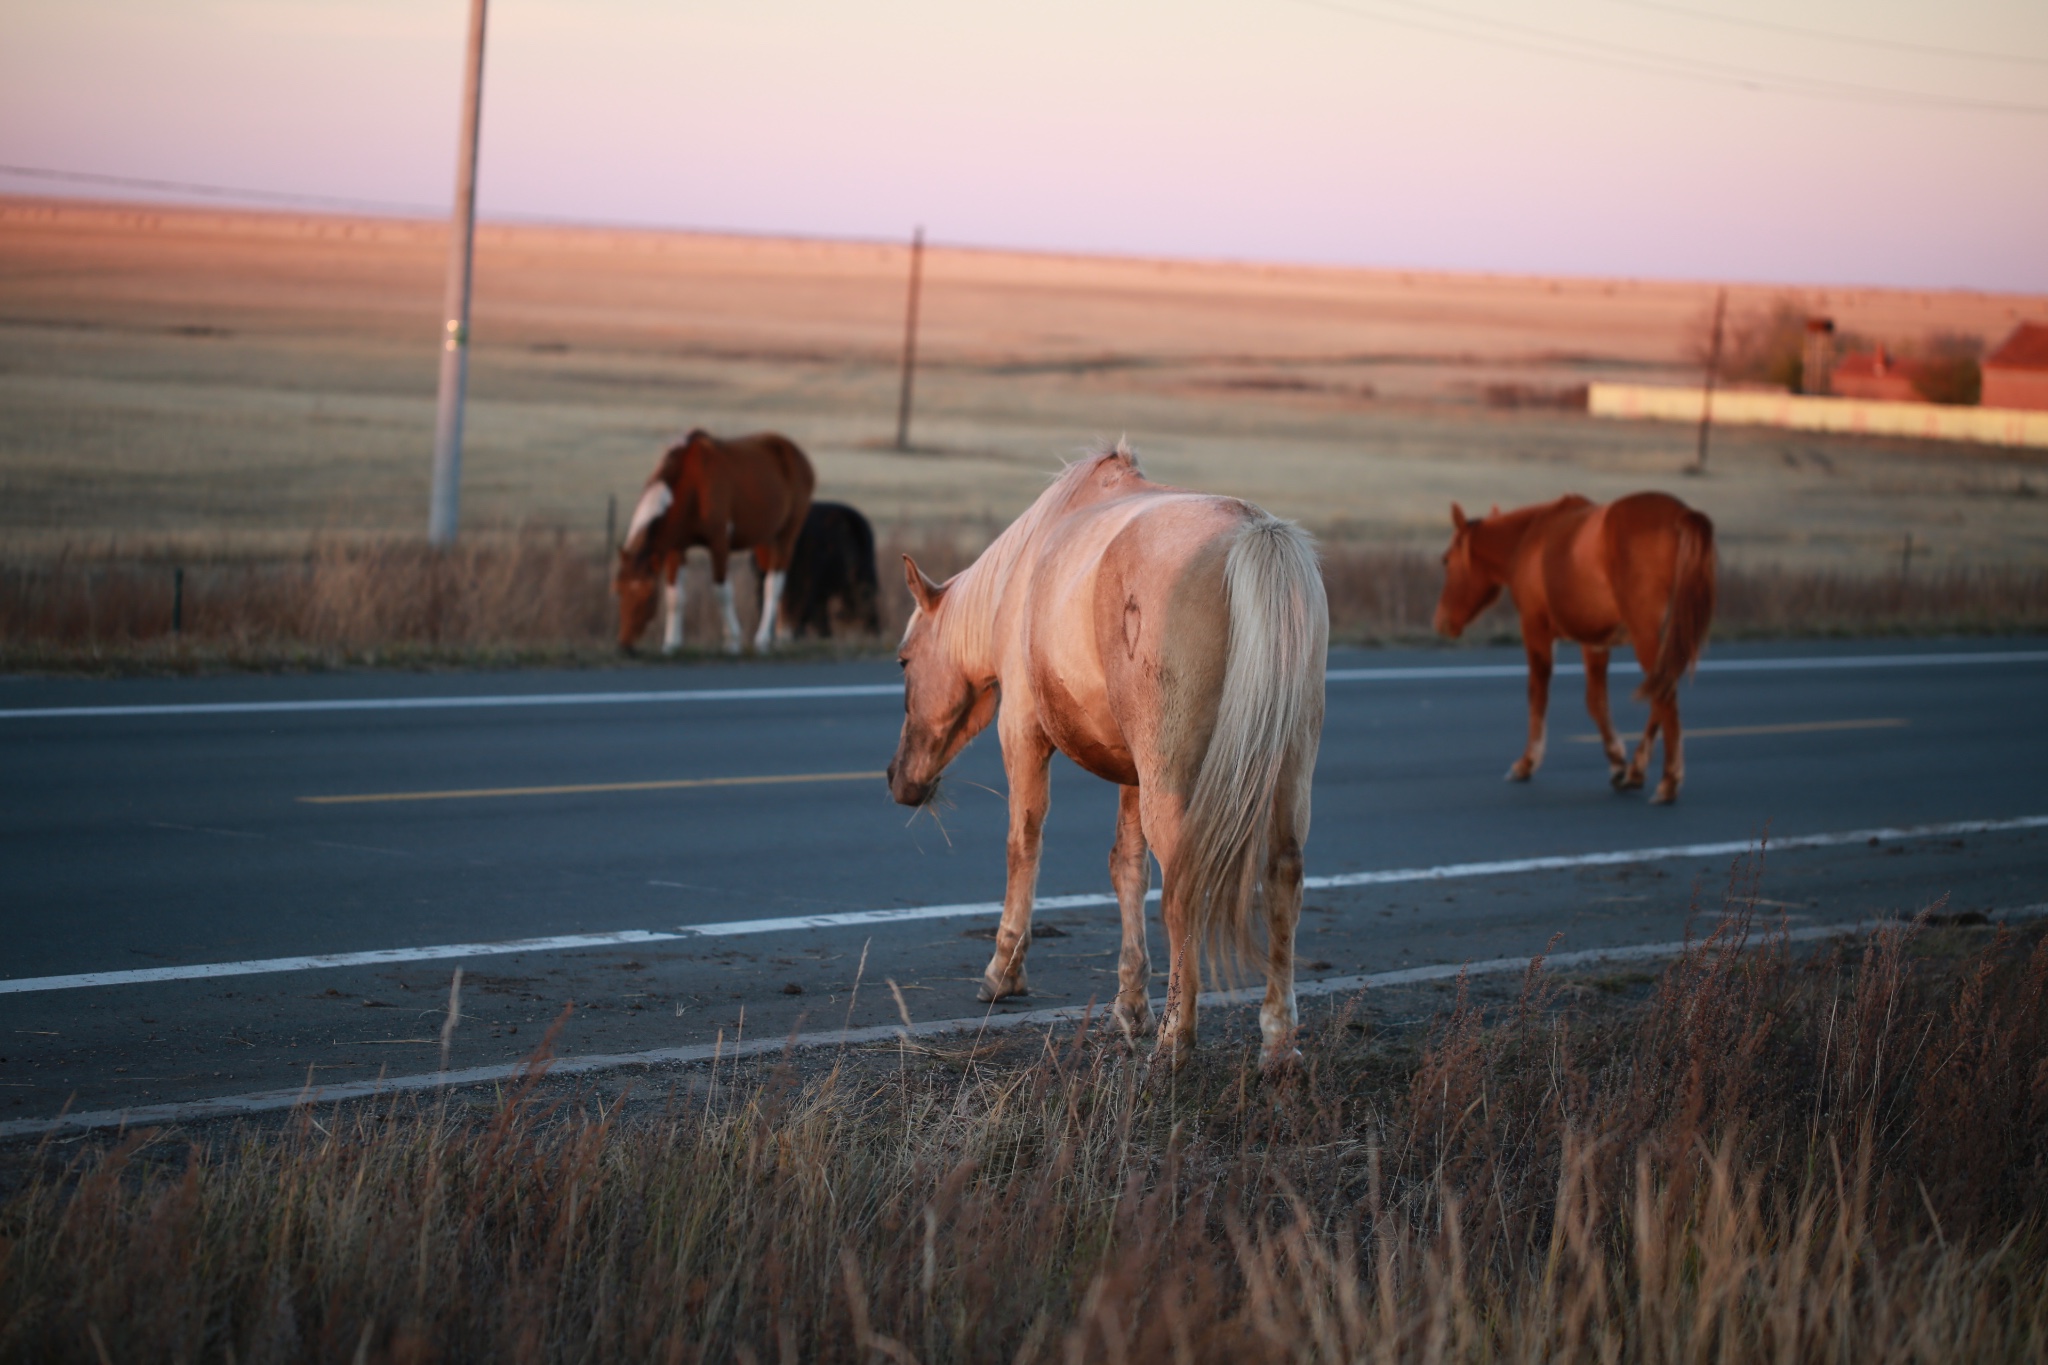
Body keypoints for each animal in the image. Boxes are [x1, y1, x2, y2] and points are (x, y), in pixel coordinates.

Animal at [614, 431, 815, 654]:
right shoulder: (676, 549)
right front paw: (671, 644)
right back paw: (777, 636)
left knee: (774, 583)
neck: (693, 486)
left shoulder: (719, 544)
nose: (624, 645)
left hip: (786, 536)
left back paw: (763, 639)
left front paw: (733, 641)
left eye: (648, 595)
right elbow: (675, 596)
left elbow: (722, 592)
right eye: (619, 590)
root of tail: (797, 454)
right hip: (764, 540)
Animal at [880, 444, 1327, 1072]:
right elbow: (1127, 868)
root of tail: (1253, 533)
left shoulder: (1022, 733)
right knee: (1283, 873)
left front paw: (1004, 972)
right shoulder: (1132, 773)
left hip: (1174, 780)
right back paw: (1278, 1043)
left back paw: (1176, 1040)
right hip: (1287, 771)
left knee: (1185, 886)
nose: (899, 779)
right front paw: (1130, 1002)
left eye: (903, 660)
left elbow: (1024, 843)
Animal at [1433, 493, 1720, 806]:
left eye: (1446, 560)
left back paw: (1669, 781)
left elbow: (1538, 694)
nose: (1440, 620)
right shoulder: (1594, 641)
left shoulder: (1535, 628)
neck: (1527, 540)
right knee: (1661, 691)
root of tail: (1682, 516)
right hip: (1670, 638)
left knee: (1664, 696)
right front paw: (1619, 763)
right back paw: (1637, 770)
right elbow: (1597, 702)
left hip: (1646, 636)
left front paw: (1527, 762)